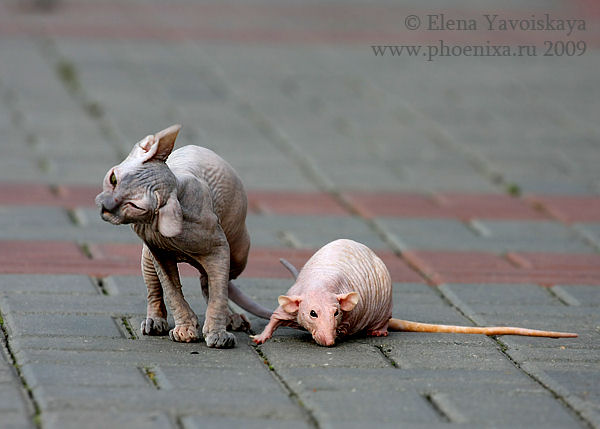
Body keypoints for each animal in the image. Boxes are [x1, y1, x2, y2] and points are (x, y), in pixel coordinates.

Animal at [95, 123, 272, 348]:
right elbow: (172, 292)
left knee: (211, 281)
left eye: (134, 206)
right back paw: (155, 321)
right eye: (113, 179)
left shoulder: (219, 249)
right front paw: (186, 328)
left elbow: (218, 291)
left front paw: (216, 333)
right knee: (156, 289)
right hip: (147, 257)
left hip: (239, 252)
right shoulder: (157, 251)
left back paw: (230, 318)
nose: (105, 206)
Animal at [252, 239, 576, 346]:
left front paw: (343, 332)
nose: (329, 341)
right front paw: (261, 337)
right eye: (312, 313)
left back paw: (378, 330)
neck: (321, 284)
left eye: (336, 312)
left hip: (384, 307)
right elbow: (277, 316)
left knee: (382, 321)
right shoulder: (295, 295)